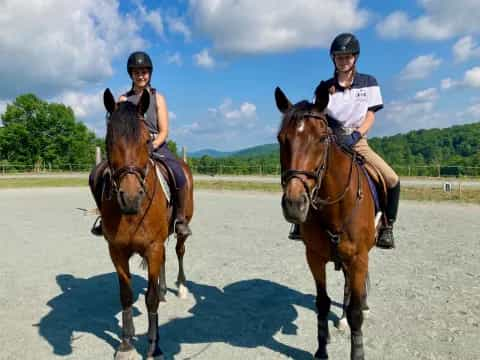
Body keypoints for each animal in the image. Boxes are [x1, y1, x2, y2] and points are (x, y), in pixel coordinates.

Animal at [89, 89, 194, 360]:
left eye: (147, 141)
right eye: (108, 142)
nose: (131, 197)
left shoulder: (153, 247)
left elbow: (150, 299)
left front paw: (154, 347)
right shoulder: (117, 251)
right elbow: (126, 296)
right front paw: (126, 343)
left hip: (181, 229)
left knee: (179, 251)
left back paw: (180, 287)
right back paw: (166, 288)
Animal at [276, 85, 376, 360]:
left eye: (321, 139)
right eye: (281, 139)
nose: (294, 204)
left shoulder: (359, 258)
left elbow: (355, 311)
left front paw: (357, 352)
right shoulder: (315, 257)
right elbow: (322, 303)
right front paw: (322, 349)